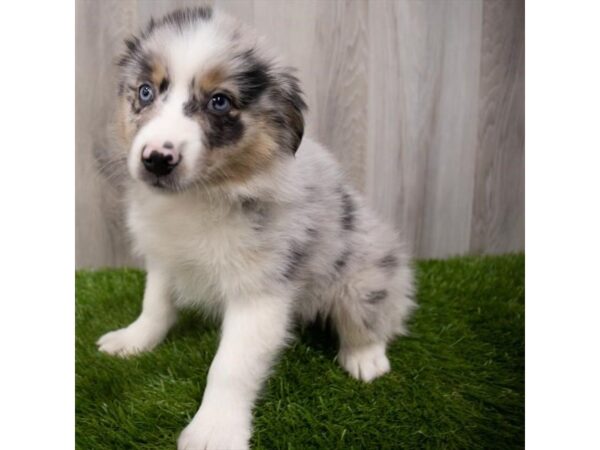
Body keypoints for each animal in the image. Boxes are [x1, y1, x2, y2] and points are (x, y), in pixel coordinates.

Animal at [97, 7, 418, 450]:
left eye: (219, 101)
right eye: (145, 92)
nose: (157, 159)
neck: (201, 197)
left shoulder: (260, 291)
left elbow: (230, 366)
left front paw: (213, 430)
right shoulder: (164, 256)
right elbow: (155, 305)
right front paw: (133, 340)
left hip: (365, 274)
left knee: (376, 317)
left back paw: (365, 357)